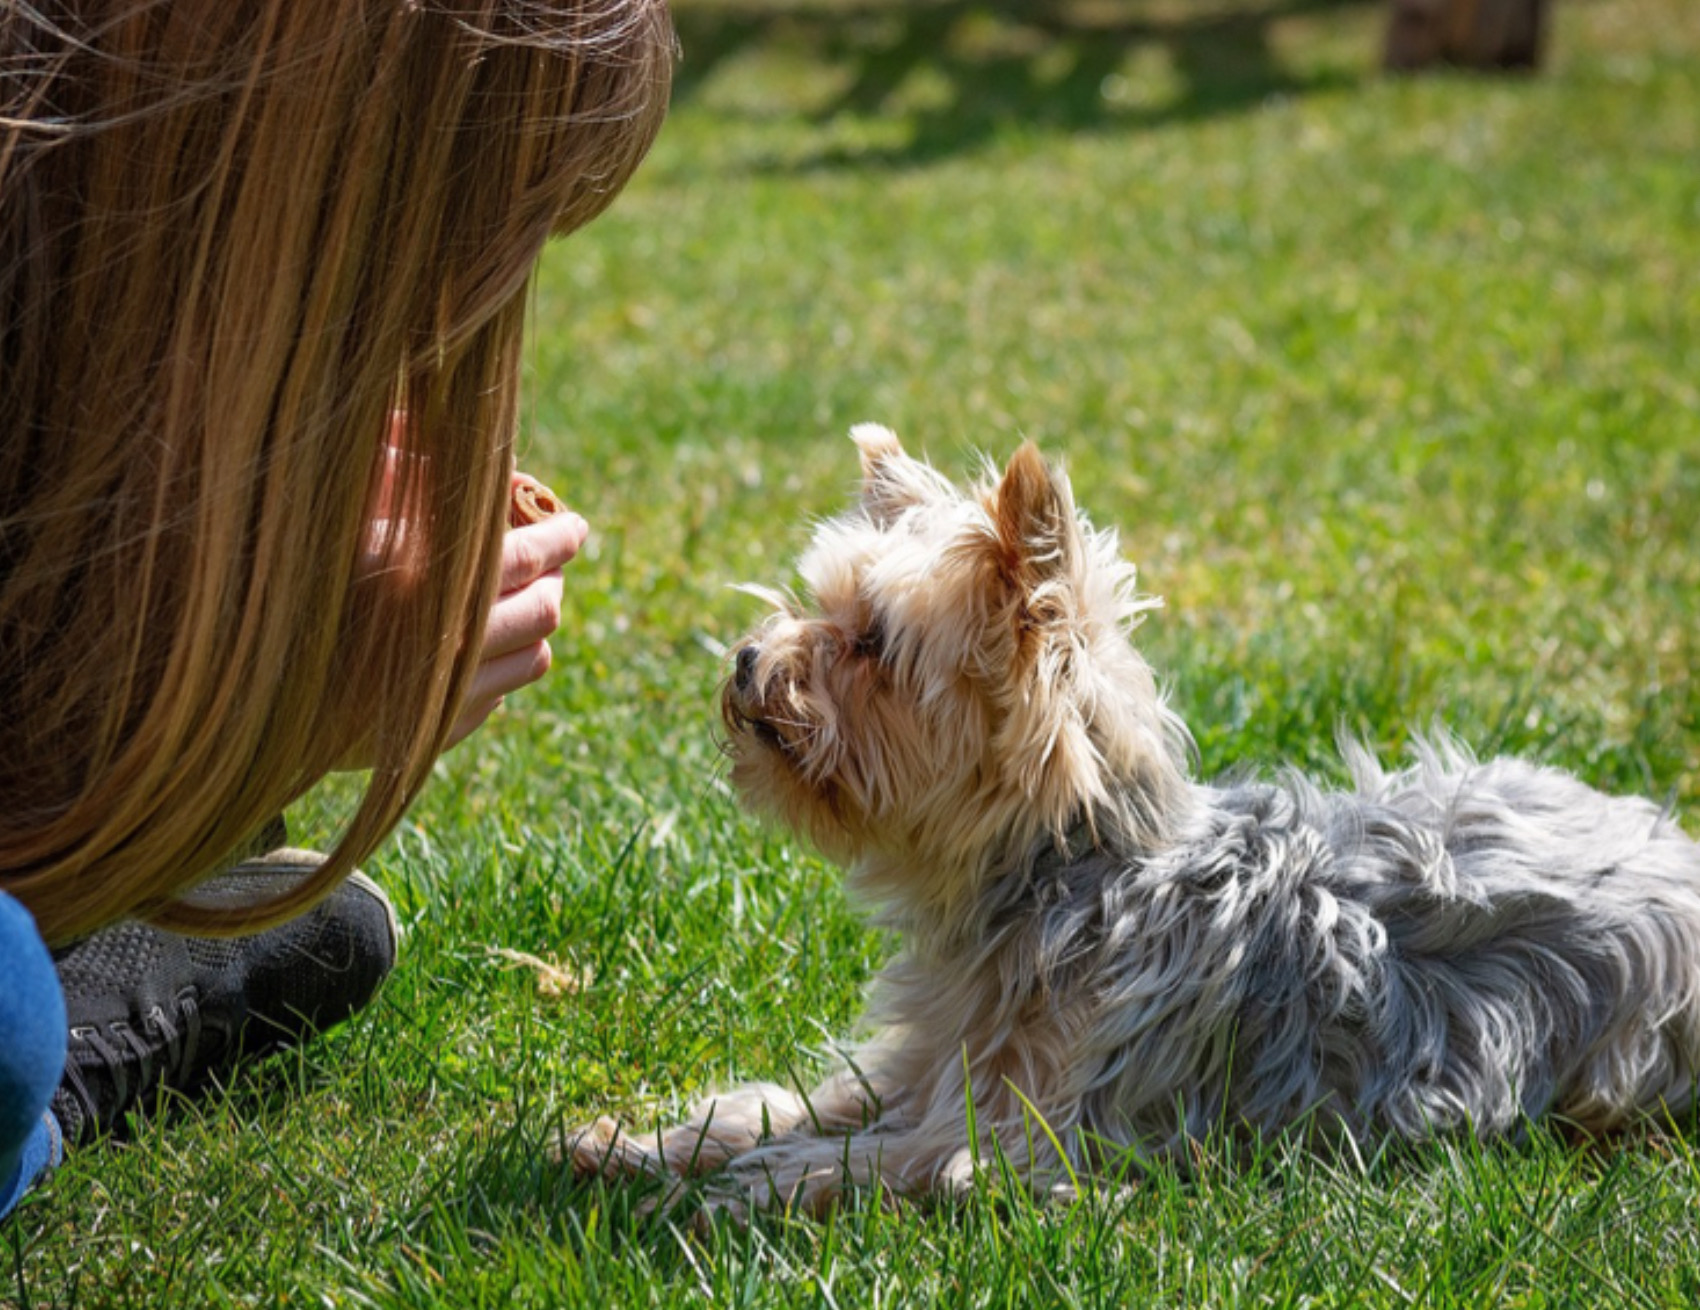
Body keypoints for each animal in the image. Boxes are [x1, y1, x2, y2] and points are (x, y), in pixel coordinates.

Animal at [567, 424, 1700, 1216]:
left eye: (872, 644)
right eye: (815, 605)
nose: (747, 660)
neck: (1066, 875)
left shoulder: (1044, 1136)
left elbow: (902, 1156)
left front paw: (747, 1184)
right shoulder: (930, 1062)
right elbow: (811, 1100)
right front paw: (645, 1142)